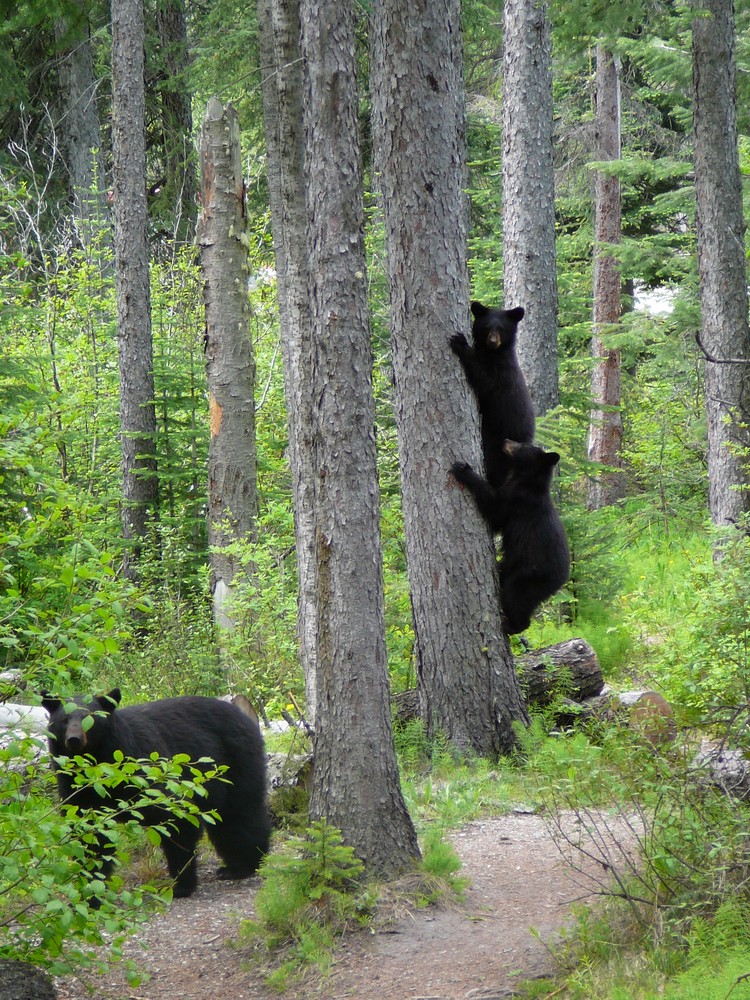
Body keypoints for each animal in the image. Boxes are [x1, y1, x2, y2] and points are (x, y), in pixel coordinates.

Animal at [42, 688, 272, 900]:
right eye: (64, 720)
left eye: (89, 718)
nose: (74, 739)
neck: (99, 766)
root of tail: (246, 718)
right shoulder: (77, 790)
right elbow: (90, 836)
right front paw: (90, 893)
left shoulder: (145, 771)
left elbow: (176, 817)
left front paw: (181, 886)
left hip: (233, 763)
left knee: (239, 813)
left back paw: (245, 864)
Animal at [450, 298, 536, 486]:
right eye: (487, 327)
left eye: (501, 329)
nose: (493, 341)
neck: (493, 353)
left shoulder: (502, 373)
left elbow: (485, 382)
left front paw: (460, 343)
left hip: (501, 440)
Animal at [452, 444, 568, 636]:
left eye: (523, 447)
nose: (506, 441)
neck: (527, 480)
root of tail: (562, 580)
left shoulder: (518, 500)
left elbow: (494, 511)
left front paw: (463, 470)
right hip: (513, 568)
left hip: (531, 576)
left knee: (515, 596)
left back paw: (512, 626)